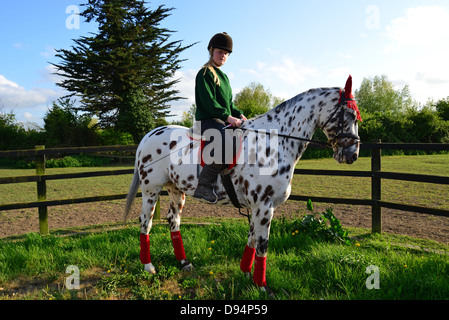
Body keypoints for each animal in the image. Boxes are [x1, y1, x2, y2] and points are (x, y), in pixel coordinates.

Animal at [123, 75, 360, 292]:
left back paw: (184, 263)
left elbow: (252, 240)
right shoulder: (264, 206)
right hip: (151, 190)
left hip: (176, 190)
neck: (273, 143)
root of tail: (148, 136)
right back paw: (148, 266)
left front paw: (247, 274)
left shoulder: (257, 208)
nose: (352, 155)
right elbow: (262, 245)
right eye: (350, 115)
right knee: (145, 222)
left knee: (173, 221)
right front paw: (263, 286)